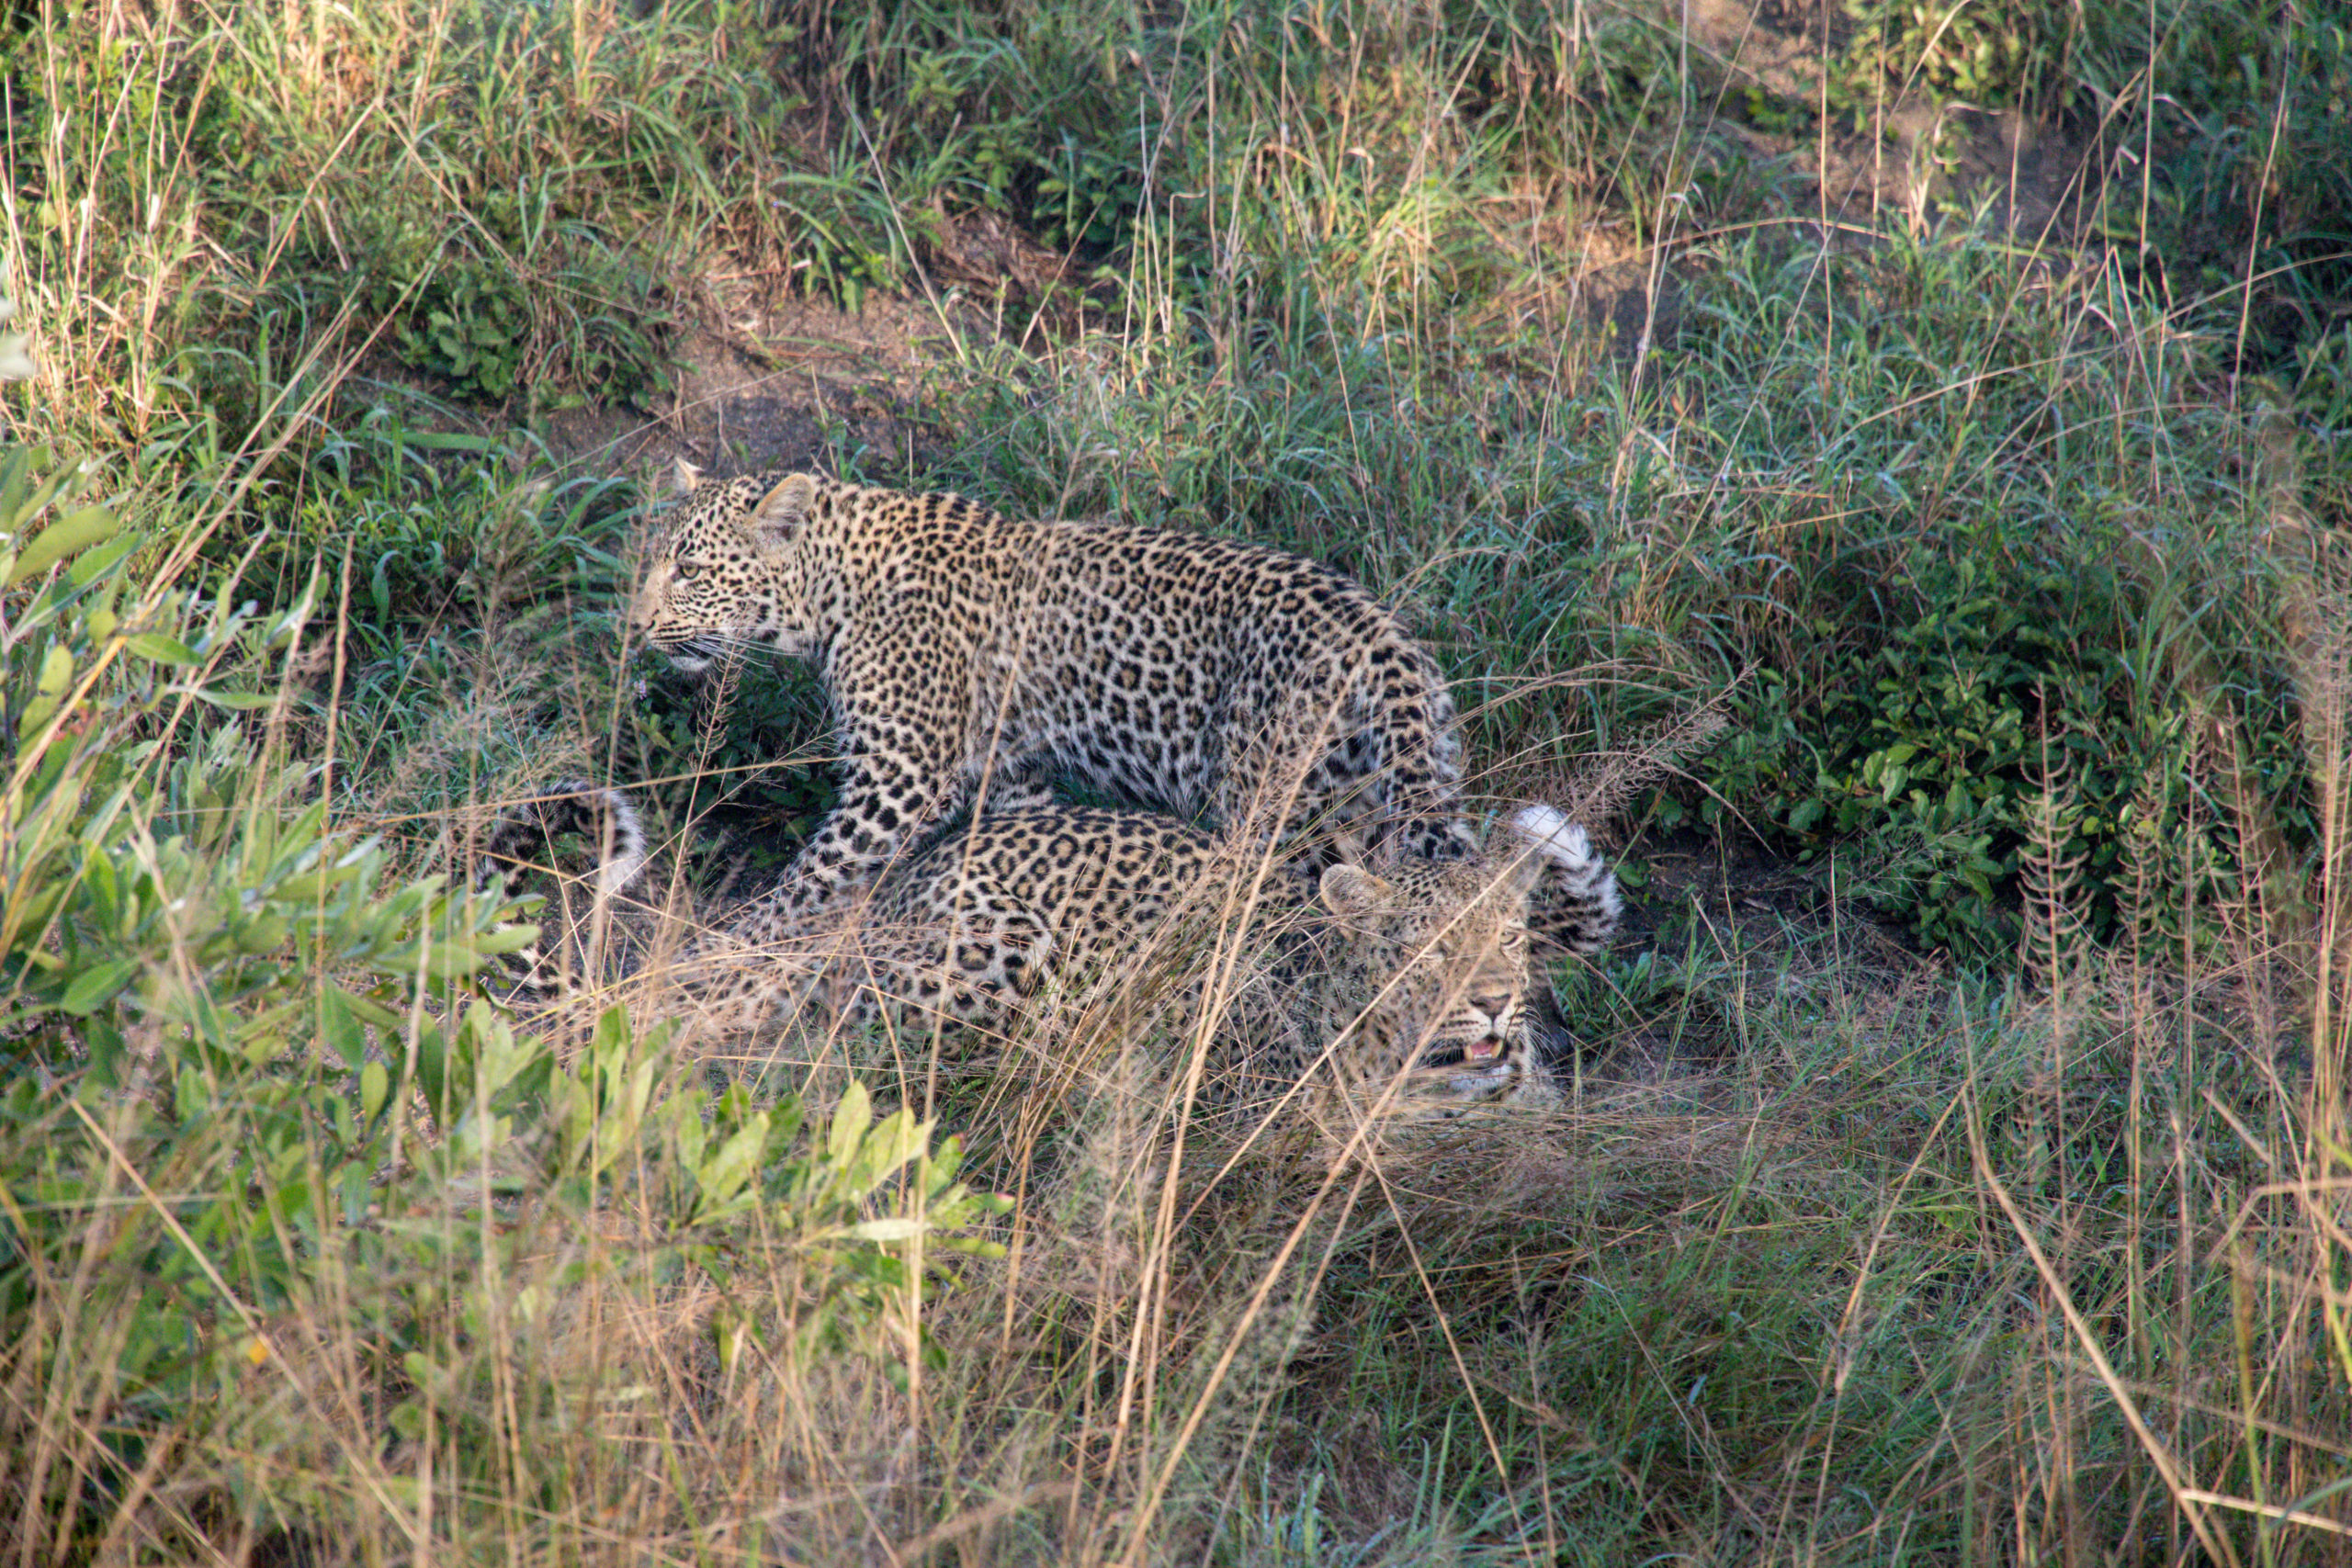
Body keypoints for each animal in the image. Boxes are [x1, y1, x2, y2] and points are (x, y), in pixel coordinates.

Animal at [630, 465, 1486, 931]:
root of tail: (1382, 636)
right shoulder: (1011, 773)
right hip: (1396, 788)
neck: (831, 594)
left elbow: (810, 878)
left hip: (1274, 804)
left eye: (690, 570)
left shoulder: (900, 779)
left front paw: (729, 954)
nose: (635, 625)